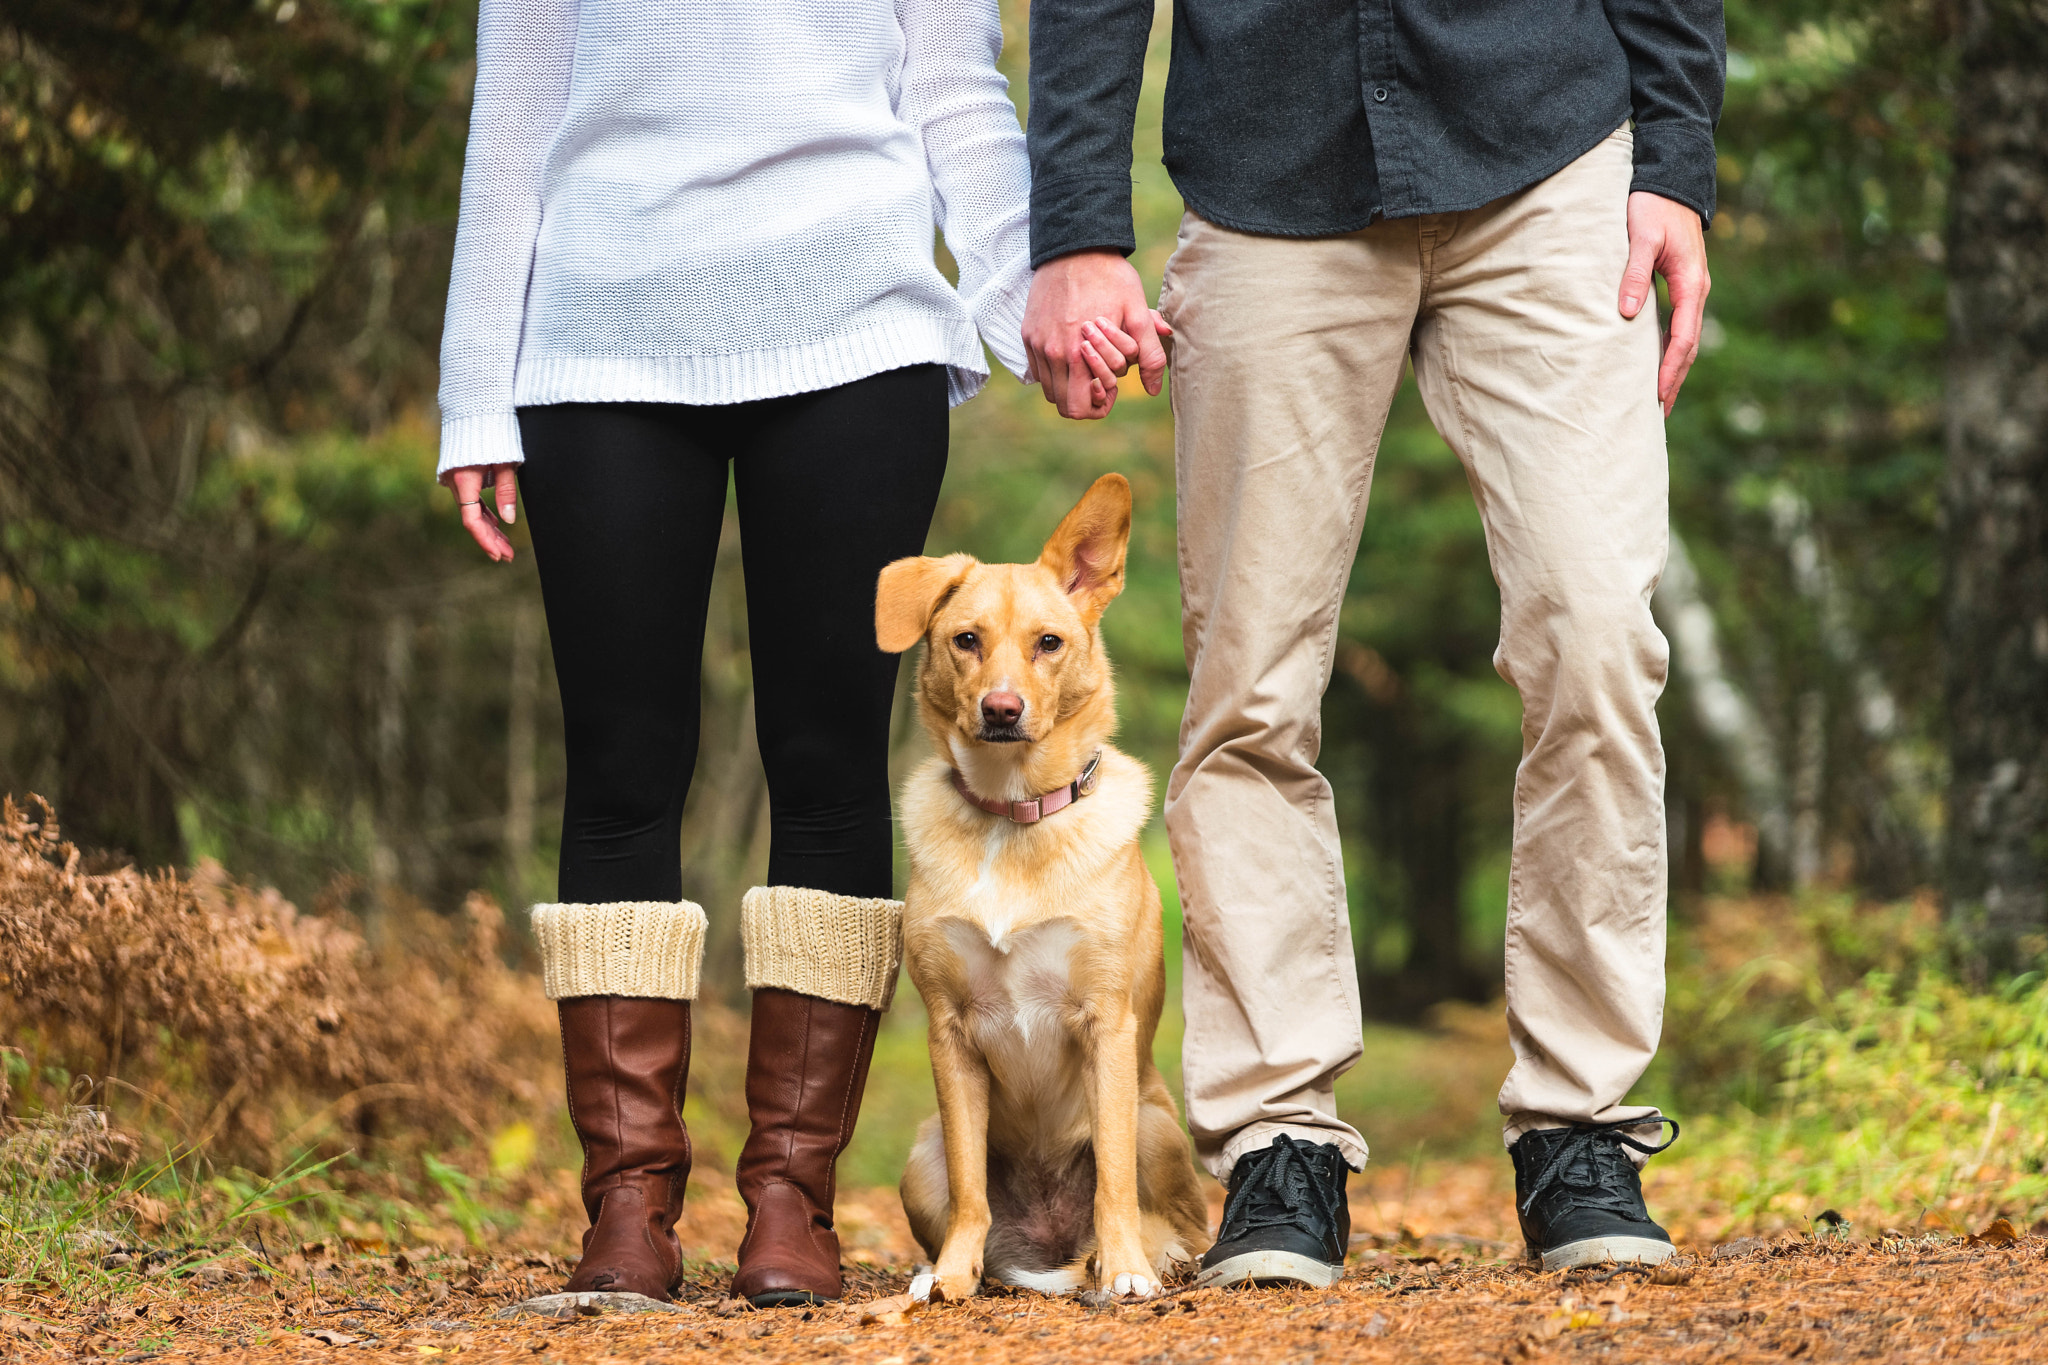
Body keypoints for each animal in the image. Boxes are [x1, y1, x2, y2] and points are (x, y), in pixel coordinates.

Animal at [868, 478, 1212, 1301]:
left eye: (1048, 643)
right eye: (966, 639)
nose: (1001, 709)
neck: (1012, 813)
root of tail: (1053, 1245)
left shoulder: (1106, 1023)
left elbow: (1113, 1180)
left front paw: (1126, 1271)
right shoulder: (950, 1033)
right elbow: (971, 1188)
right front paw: (952, 1276)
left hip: (1154, 1122)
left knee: (1177, 1219)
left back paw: (1146, 1259)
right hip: (921, 1153)